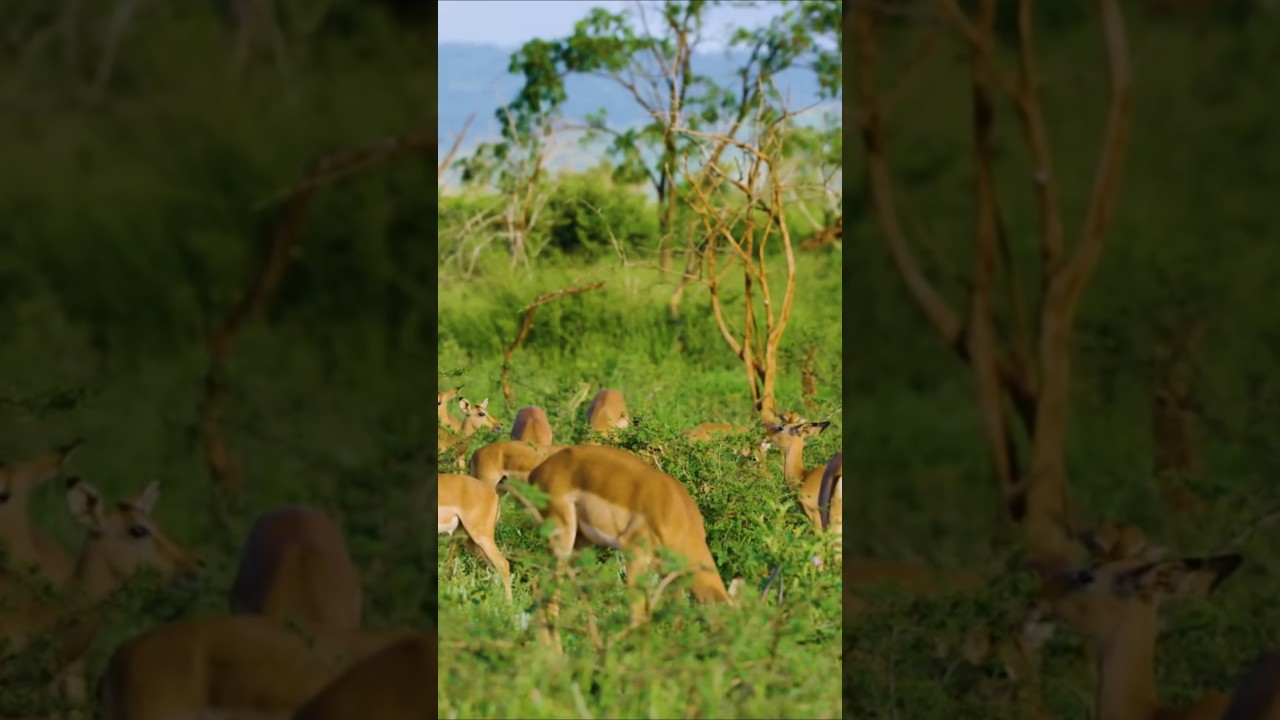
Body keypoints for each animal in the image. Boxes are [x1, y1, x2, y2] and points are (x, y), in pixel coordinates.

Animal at [528, 444, 733, 631]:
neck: (676, 511)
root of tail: (538, 472)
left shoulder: (668, 570)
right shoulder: (635, 553)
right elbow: (638, 612)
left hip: (582, 541)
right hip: (562, 535)